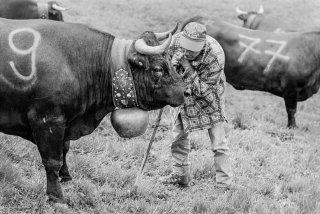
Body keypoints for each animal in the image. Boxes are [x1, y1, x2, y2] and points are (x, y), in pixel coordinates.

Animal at [0, 18, 186, 202]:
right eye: (157, 69)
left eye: (171, 60)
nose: (185, 91)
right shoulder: (47, 120)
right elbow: (52, 160)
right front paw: (56, 196)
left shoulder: (65, 122)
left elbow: (65, 148)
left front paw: (66, 177)